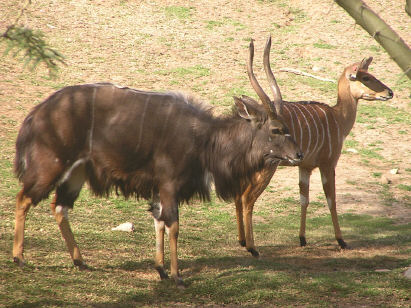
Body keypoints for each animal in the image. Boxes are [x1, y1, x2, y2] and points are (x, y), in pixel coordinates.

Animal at [238, 36, 396, 258]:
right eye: (365, 77)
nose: (389, 92)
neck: (338, 118)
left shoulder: (305, 166)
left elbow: (304, 198)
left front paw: (302, 239)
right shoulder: (328, 164)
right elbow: (331, 199)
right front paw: (341, 241)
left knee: (239, 195)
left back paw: (242, 241)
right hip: (267, 166)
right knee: (247, 198)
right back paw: (252, 248)